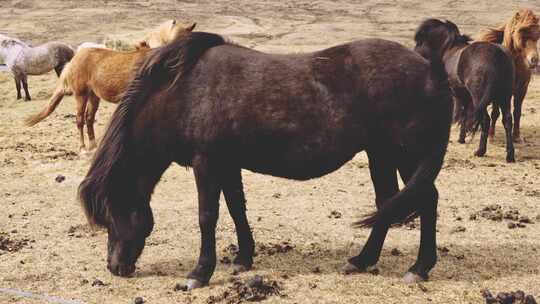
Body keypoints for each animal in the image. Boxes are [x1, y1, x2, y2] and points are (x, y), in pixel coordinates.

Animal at [24, 22, 196, 151]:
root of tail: (74, 59)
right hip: (81, 95)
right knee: (80, 119)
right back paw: (82, 148)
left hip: (93, 96)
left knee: (89, 118)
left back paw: (93, 146)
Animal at [78, 31, 454, 290]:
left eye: (111, 215)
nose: (115, 267)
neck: (183, 92)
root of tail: (430, 70)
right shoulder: (227, 164)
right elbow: (236, 208)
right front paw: (243, 258)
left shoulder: (207, 163)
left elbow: (207, 217)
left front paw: (199, 273)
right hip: (381, 153)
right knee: (388, 202)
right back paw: (363, 261)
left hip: (406, 153)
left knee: (428, 199)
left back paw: (419, 268)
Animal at [416, 18, 516, 163]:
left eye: (420, 41)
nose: (415, 53)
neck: (450, 49)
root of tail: (498, 55)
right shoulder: (467, 96)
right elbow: (465, 114)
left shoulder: (458, 93)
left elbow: (462, 113)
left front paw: (461, 137)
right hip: (505, 96)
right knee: (507, 120)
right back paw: (510, 155)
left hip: (480, 98)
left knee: (486, 120)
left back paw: (480, 151)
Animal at [476, 9, 540, 142]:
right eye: (521, 32)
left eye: (537, 36)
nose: (534, 60)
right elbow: (495, 113)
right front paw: (491, 135)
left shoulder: (521, 90)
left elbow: (517, 112)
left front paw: (516, 136)